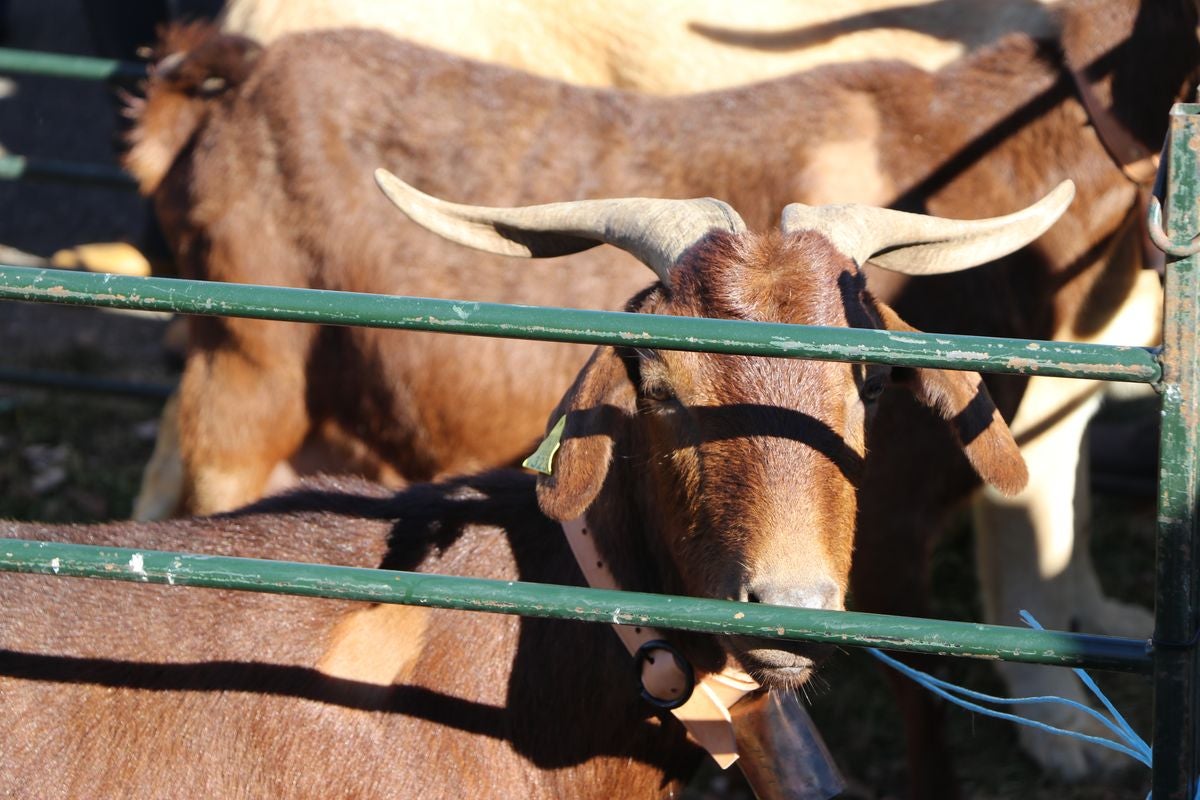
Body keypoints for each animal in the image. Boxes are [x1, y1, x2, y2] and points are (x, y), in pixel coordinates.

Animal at [126, 1, 1195, 786]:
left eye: (871, 380)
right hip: (247, 381)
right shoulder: (896, 539)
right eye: (658, 380)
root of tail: (232, 77)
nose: (790, 604)